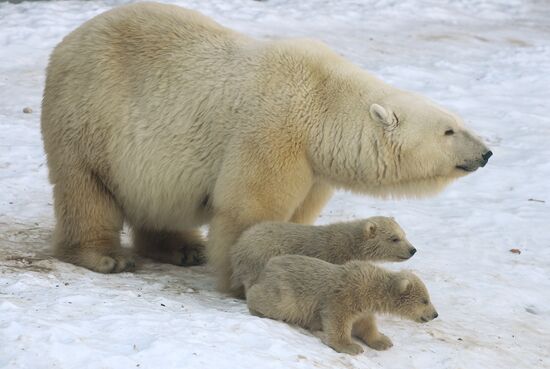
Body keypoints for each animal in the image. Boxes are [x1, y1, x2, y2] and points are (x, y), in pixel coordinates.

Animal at [231, 216, 416, 294]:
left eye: (404, 234)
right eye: (394, 238)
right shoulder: (333, 255)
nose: (412, 250)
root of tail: (239, 244)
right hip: (261, 256)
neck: (350, 243)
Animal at [248, 256, 438, 354]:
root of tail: (268, 265)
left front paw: (383, 341)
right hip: (287, 292)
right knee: (273, 302)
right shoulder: (345, 297)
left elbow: (366, 325)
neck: (370, 287)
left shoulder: (364, 308)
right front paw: (352, 347)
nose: (435, 314)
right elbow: (338, 320)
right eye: (425, 300)